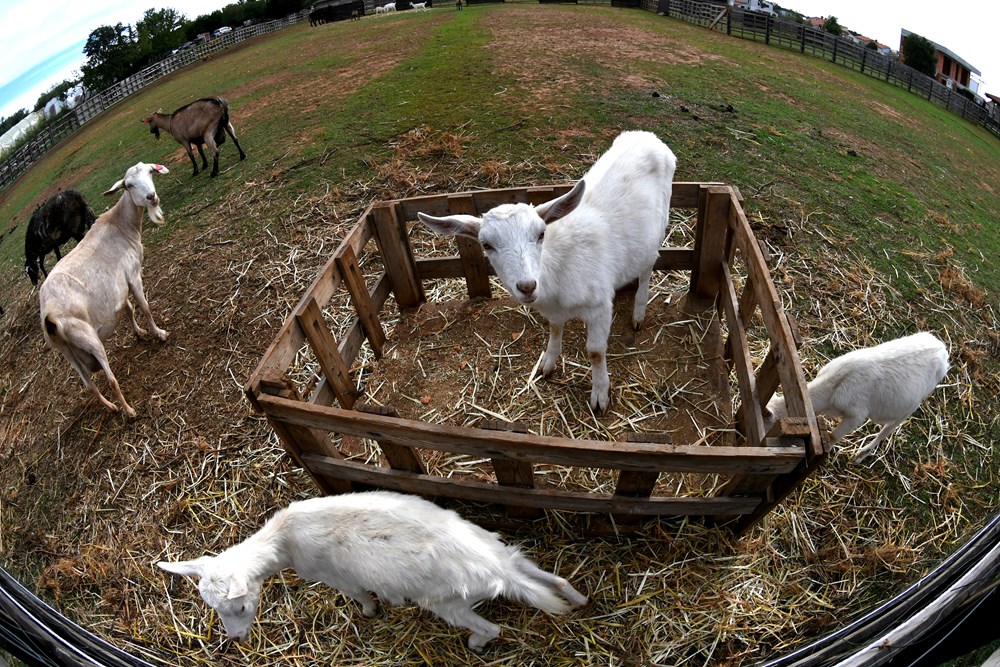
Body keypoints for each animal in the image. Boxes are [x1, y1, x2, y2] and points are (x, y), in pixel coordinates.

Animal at [418, 130, 676, 412]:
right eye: (486, 245)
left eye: (541, 234)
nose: (527, 286)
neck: (556, 273)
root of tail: (646, 135)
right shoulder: (553, 311)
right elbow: (554, 329)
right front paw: (547, 364)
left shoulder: (598, 306)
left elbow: (595, 352)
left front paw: (600, 395)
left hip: (659, 228)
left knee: (648, 266)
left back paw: (639, 312)